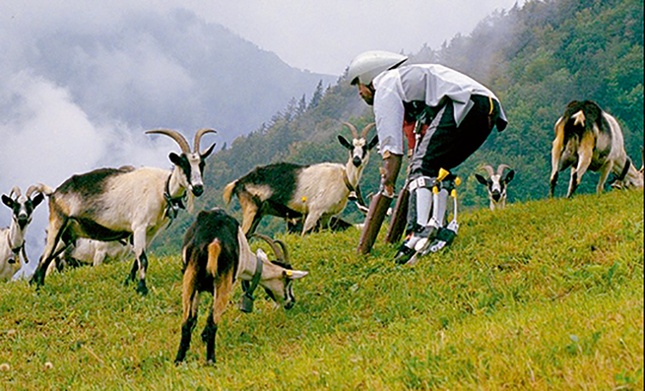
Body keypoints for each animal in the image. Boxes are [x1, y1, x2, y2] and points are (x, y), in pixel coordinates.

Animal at [30, 128, 216, 294]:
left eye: (202, 164)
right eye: (184, 164)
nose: (198, 188)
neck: (162, 188)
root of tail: (54, 193)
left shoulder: (152, 230)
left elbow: (137, 259)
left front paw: (129, 282)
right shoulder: (139, 226)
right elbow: (143, 259)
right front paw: (142, 289)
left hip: (68, 234)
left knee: (47, 257)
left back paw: (36, 284)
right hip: (58, 223)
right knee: (46, 256)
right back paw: (38, 289)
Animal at [175, 210, 308, 366]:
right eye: (289, 281)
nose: (291, 302)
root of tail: (214, 241)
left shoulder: (197, 287)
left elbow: (192, 319)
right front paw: (204, 337)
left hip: (190, 276)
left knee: (186, 322)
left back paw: (178, 361)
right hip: (223, 282)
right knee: (213, 322)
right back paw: (211, 360)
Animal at [221, 123, 378, 236]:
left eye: (366, 147)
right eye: (351, 147)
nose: (357, 160)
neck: (342, 178)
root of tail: (239, 182)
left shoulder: (326, 215)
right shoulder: (314, 211)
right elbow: (305, 234)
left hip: (259, 213)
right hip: (251, 208)